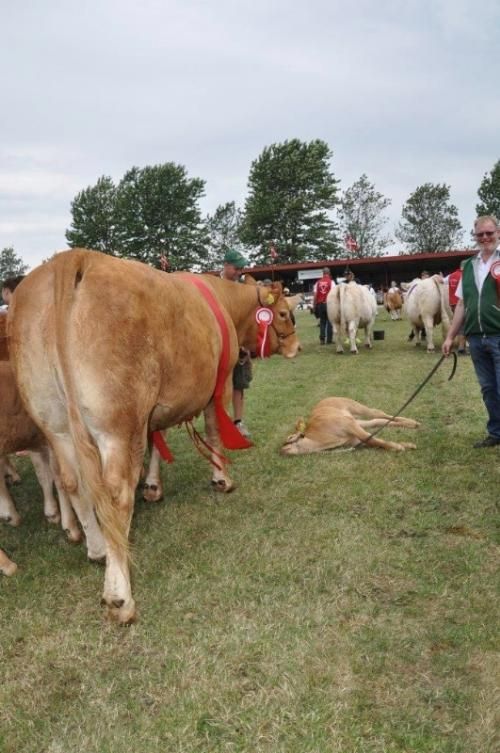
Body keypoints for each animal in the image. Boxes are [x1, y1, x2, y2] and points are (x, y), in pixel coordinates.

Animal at [7, 250, 298, 620]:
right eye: (284, 313)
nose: (296, 347)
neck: (222, 300)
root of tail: (74, 258)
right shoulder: (216, 387)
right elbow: (214, 432)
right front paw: (221, 477)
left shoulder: (154, 408)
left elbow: (157, 441)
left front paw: (153, 486)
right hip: (118, 421)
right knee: (116, 492)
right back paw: (119, 595)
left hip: (54, 422)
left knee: (73, 482)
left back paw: (97, 549)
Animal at [282, 396, 418, 456]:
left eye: (289, 438)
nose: (281, 451)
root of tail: (327, 397)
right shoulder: (354, 438)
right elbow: (374, 441)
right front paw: (406, 445)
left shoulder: (348, 425)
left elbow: (372, 440)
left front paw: (398, 447)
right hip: (355, 420)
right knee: (377, 420)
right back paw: (412, 424)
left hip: (356, 408)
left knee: (378, 413)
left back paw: (412, 422)